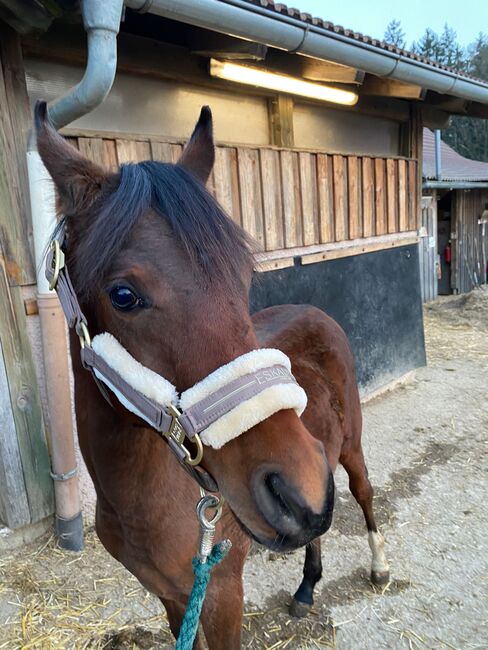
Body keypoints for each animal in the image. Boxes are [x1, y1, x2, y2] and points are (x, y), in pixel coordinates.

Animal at [35, 101, 388, 648]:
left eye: (242, 275)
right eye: (123, 295)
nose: (296, 487)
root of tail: (313, 309)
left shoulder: (222, 593)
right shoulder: (174, 598)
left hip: (347, 448)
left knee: (365, 494)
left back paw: (378, 566)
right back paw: (307, 586)